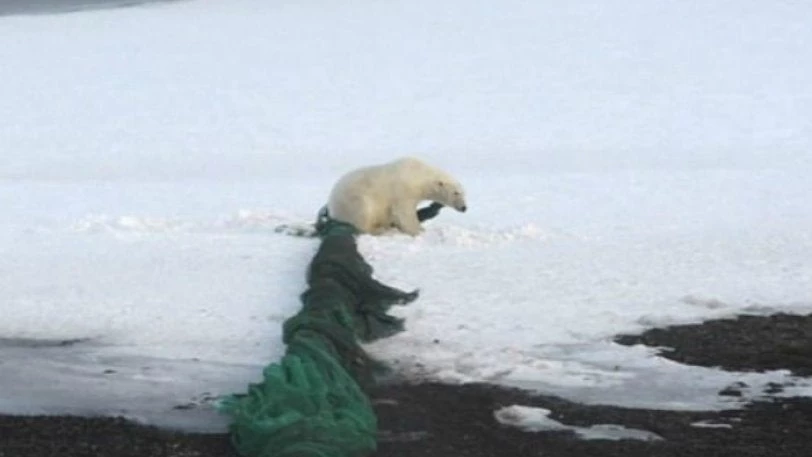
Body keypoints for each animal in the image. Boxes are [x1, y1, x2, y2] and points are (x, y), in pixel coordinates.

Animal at [326, 156, 466, 235]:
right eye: (455, 193)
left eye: (464, 193)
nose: (464, 208)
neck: (420, 175)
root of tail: (332, 206)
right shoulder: (403, 190)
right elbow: (404, 212)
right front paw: (418, 230)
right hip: (353, 200)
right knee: (362, 214)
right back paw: (379, 230)